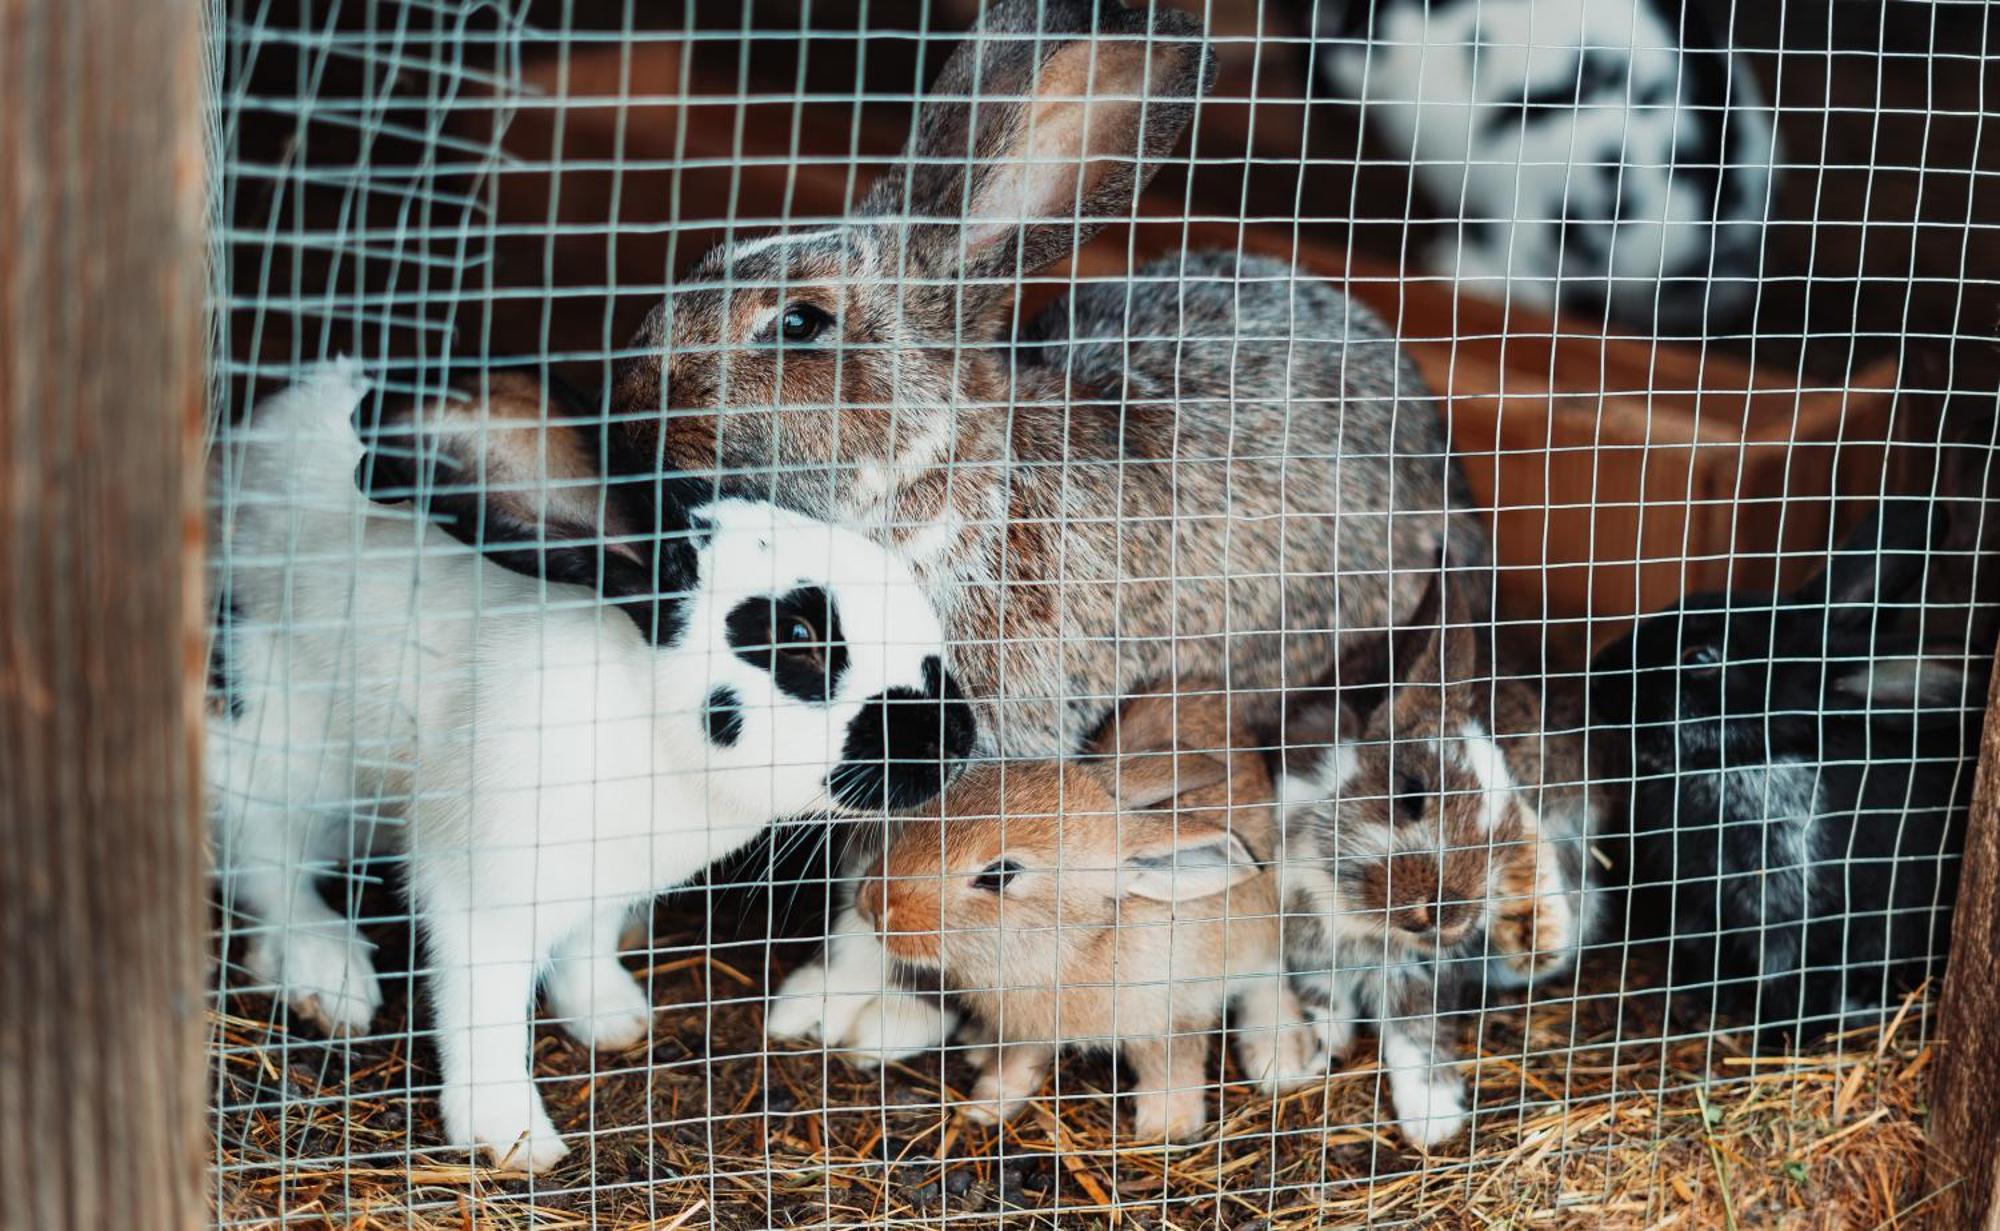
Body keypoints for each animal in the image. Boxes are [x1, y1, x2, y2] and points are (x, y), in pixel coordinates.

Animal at [852, 687, 1320, 1143]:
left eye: (999, 875)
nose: (875, 904)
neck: (1078, 939)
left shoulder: (1174, 1014)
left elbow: (1172, 1065)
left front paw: (1167, 1127)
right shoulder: (1031, 1028)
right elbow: (1019, 1061)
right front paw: (985, 1106)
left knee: (1268, 976)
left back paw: (1279, 1057)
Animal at [1280, 563, 1608, 1143]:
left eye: (1498, 841)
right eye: (1411, 794)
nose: (1447, 915)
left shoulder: (1420, 970)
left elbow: (1416, 1033)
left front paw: (1432, 1118)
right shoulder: (1306, 950)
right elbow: (1322, 998)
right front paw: (1318, 1047)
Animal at [1584, 495, 1992, 1047]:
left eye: (1701, 656)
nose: (1598, 677)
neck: (1751, 762)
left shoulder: (1802, 919)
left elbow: (1789, 985)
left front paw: (1777, 1042)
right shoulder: (1697, 909)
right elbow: (1701, 962)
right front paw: (1690, 1009)